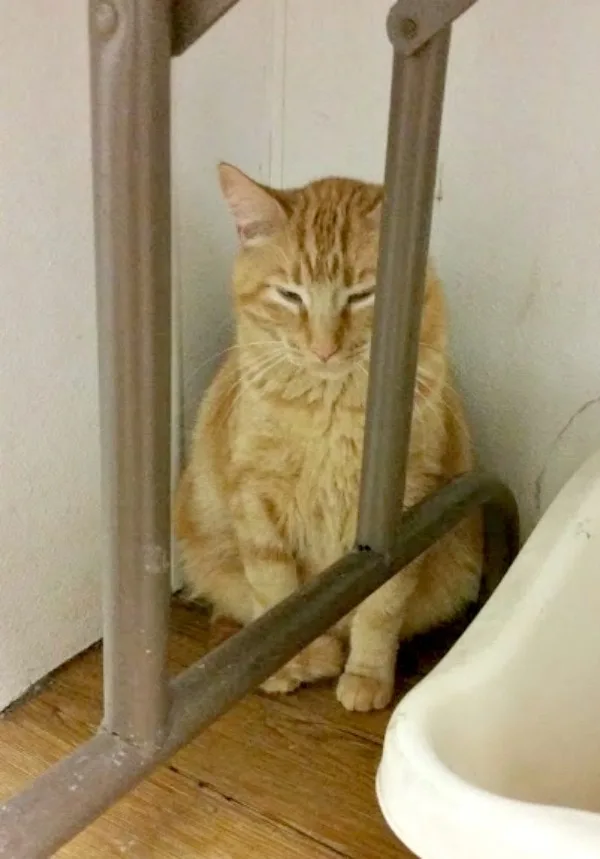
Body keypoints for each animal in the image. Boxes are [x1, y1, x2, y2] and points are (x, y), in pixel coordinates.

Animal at [177, 161, 482, 712]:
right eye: (289, 295)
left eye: (362, 296)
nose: (323, 348)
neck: (329, 408)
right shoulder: (256, 497)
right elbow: (278, 594)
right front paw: (288, 662)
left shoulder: (404, 507)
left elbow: (381, 607)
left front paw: (367, 675)